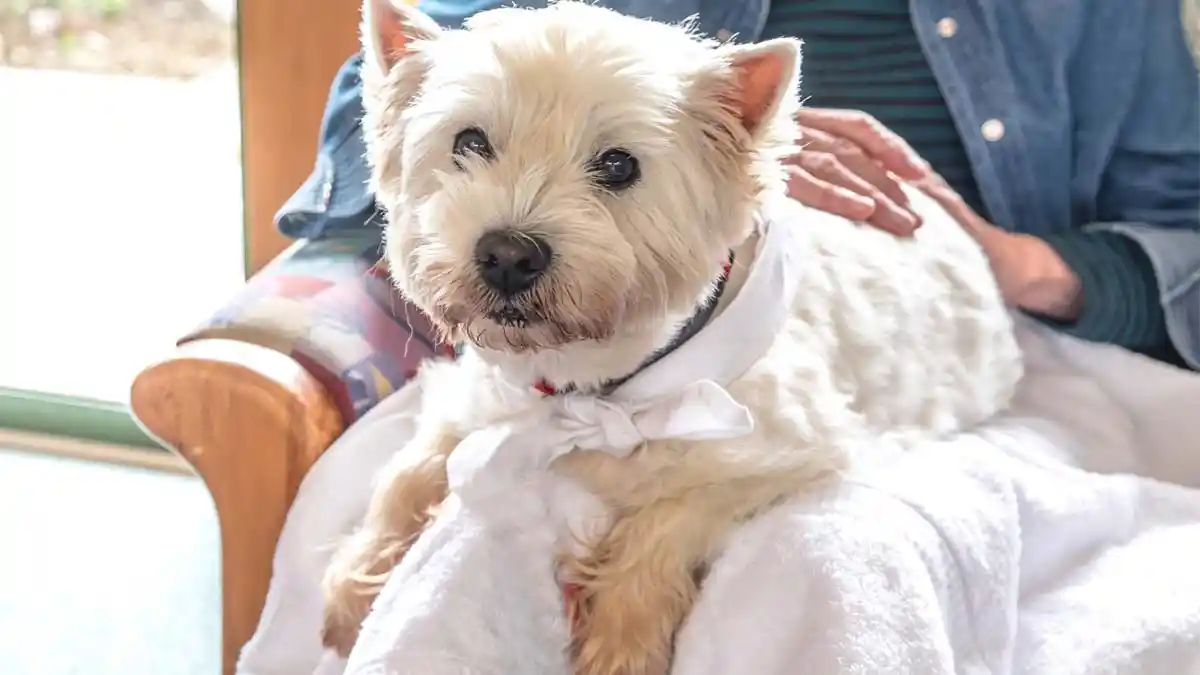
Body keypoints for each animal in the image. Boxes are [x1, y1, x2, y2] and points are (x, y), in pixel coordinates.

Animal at [321, 2, 1022, 667]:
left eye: (618, 164)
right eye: (469, 141)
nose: (508, 256)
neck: (592, 386)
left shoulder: (791, 450)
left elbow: (668, 516)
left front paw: (621, 643)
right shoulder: (479, 395)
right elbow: (410, 470)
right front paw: (354, 587)